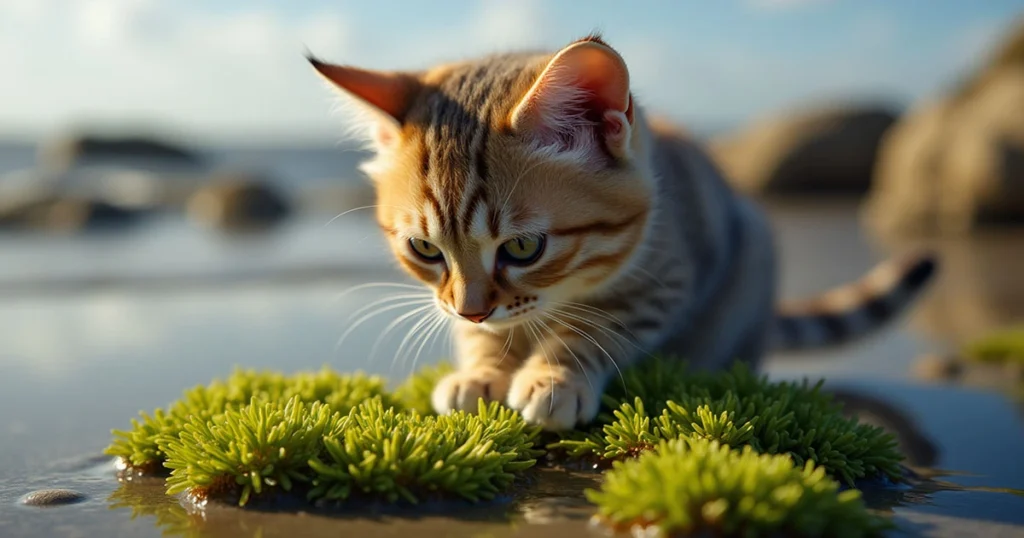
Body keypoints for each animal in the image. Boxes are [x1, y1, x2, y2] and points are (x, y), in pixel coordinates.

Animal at [307, 34, 937, 432]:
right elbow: (489, 339)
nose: (472, 310)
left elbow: (594, 331)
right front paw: (482, 370)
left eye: (523, 248)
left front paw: (554, 377)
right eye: (425, 249)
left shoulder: (663, 281)